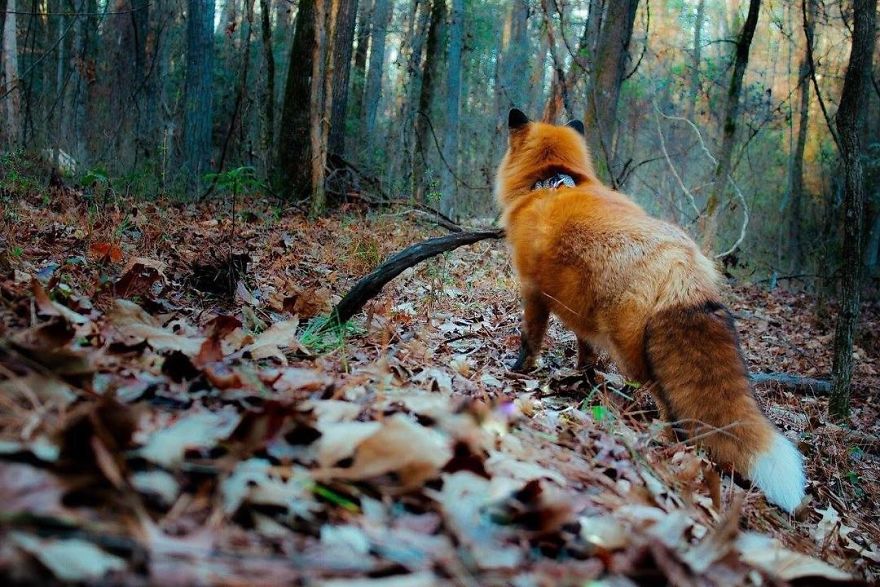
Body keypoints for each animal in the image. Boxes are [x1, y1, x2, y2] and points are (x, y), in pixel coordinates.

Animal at [495, 108, 806, 513]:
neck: (551, 183)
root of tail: (681, 260)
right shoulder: (578, 308)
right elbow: (585, 352)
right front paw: (584, 380)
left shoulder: (533, 291)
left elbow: (529, 340)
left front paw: (518, 371)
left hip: (634, 355)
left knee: (667, 403)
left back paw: (663, 438)